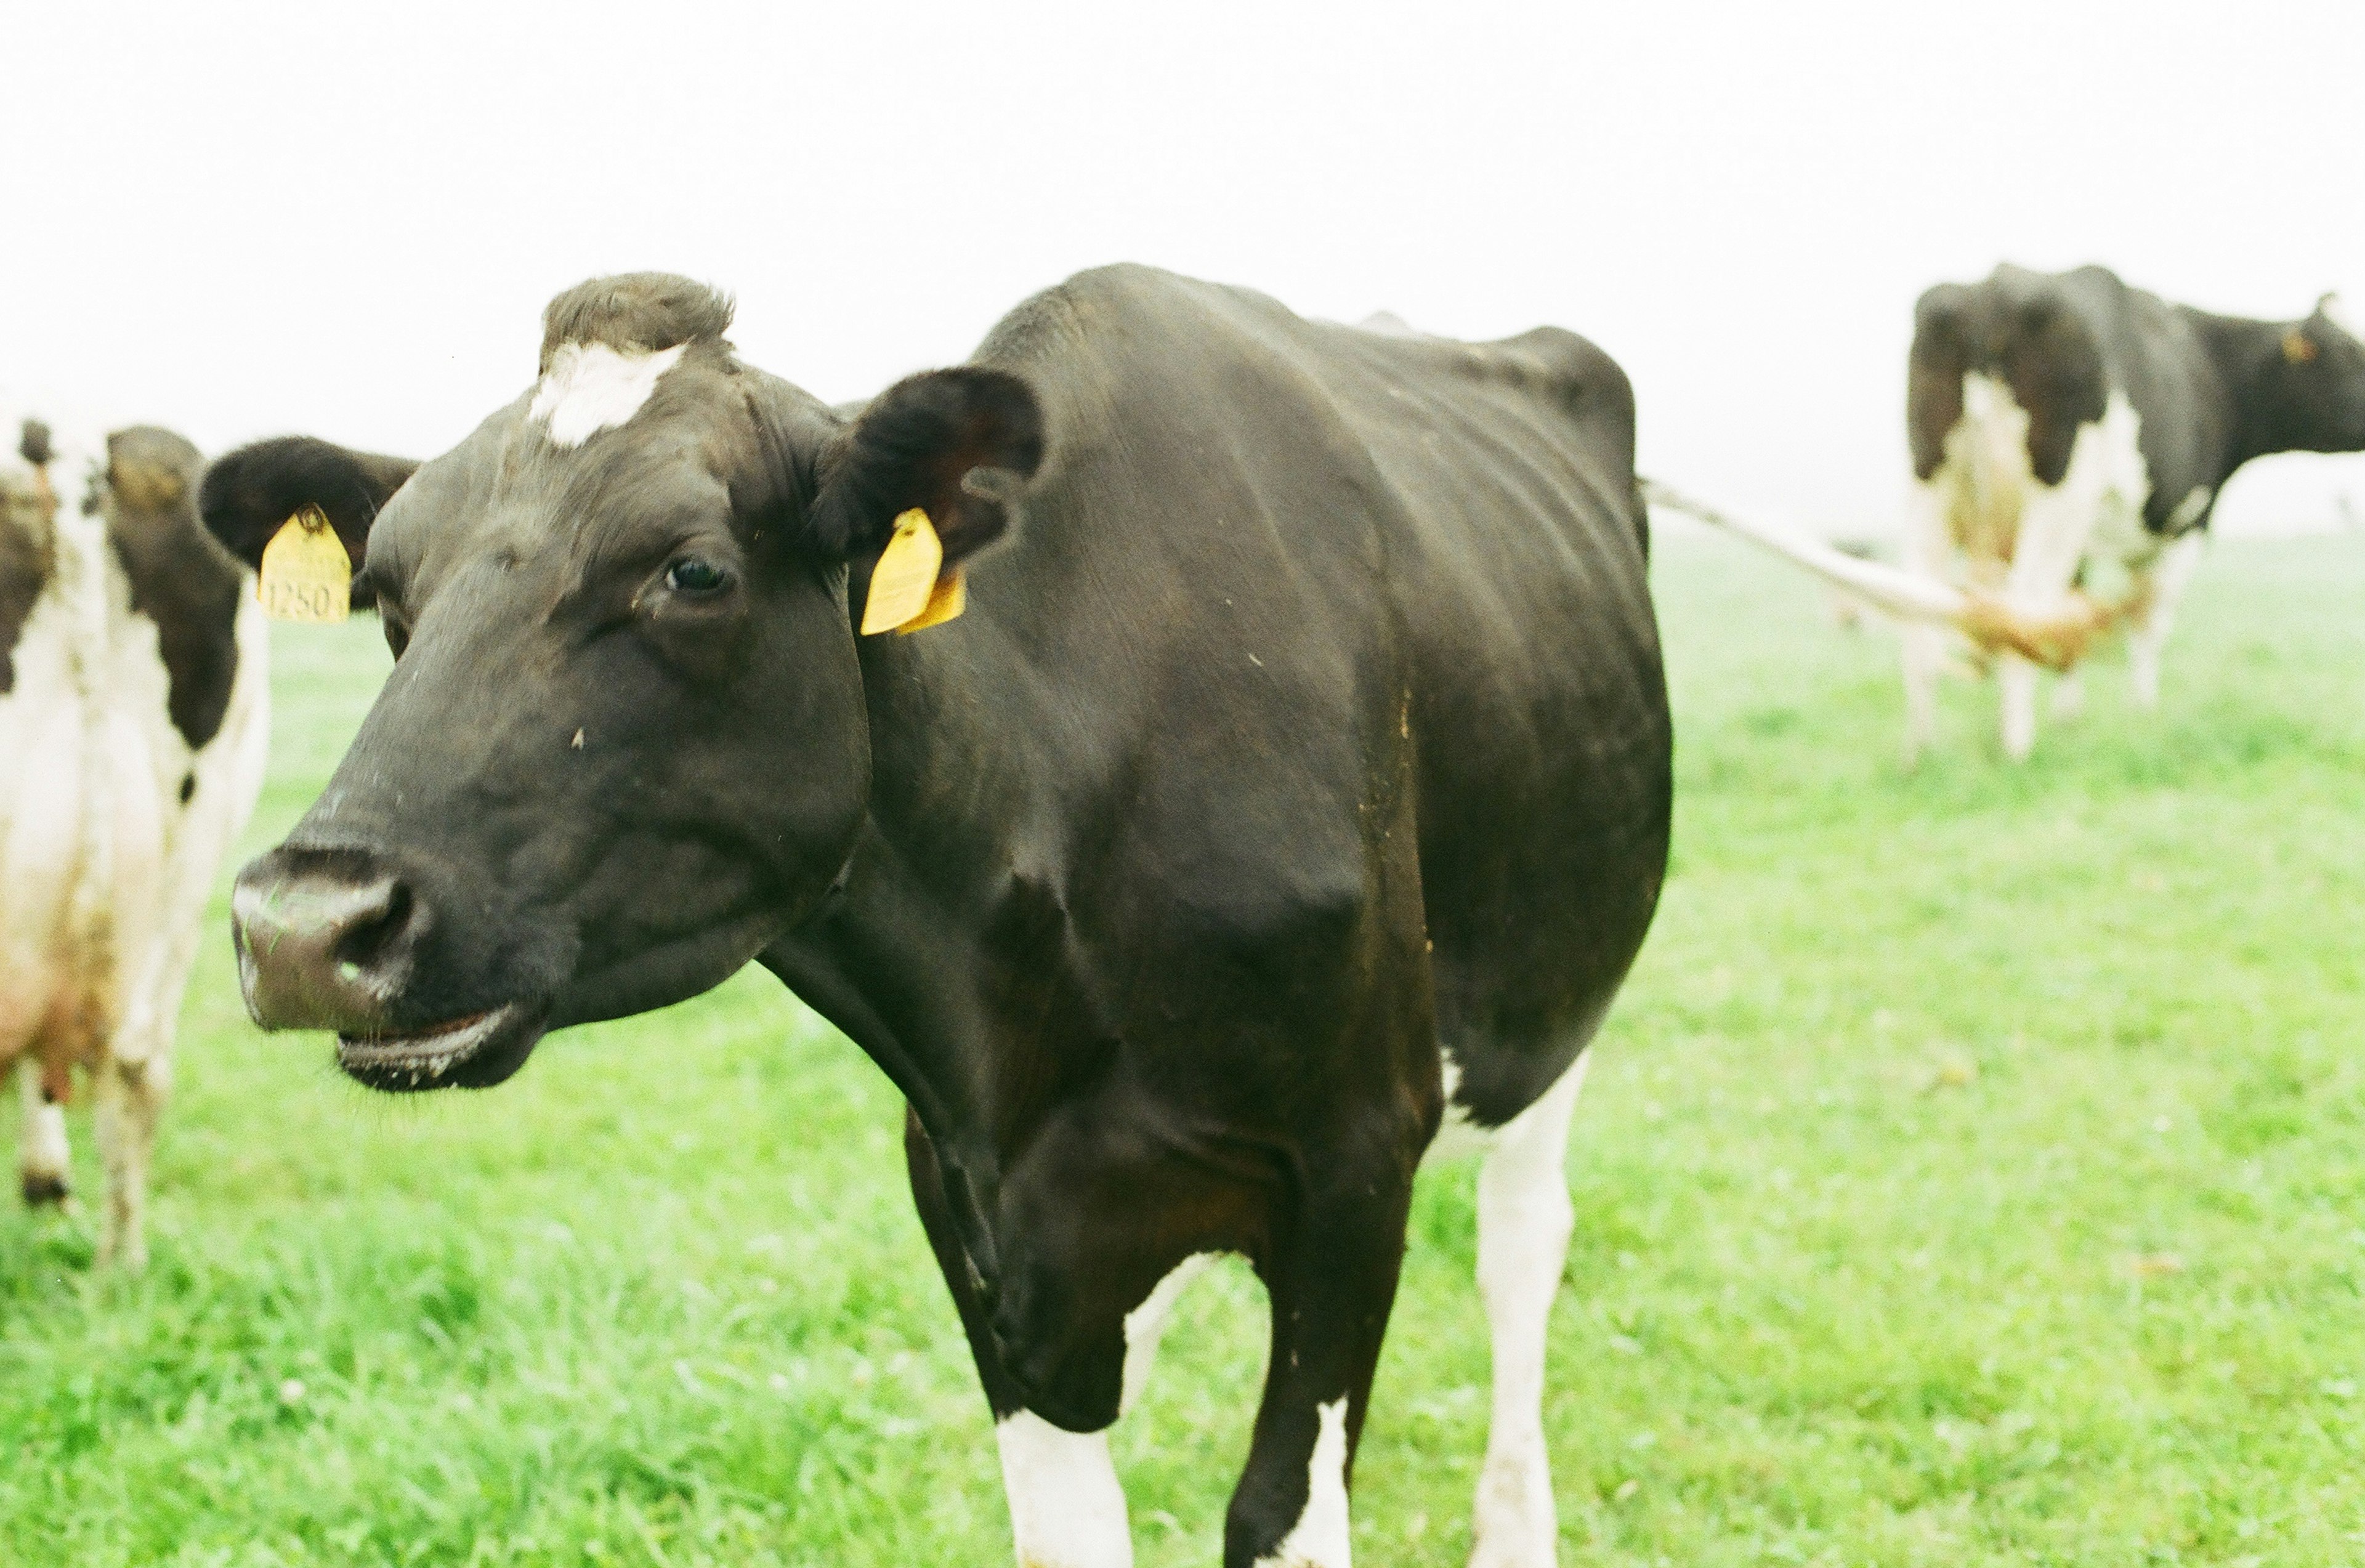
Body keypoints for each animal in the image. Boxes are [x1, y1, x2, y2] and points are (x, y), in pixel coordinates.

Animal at [208, 264, 1684, 1561]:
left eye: (692, 572)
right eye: (390, 596)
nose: (302, 926)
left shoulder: (1357, 1159)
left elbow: (1281, 1518)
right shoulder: (976, 1207)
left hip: (1548, 1012)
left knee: (1521, 1249)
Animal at [1901, 264, 2365, 761]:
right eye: (2350, 355)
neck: (2216, 365)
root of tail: (1994, 286)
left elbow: (2072, 623)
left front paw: (2069, 719)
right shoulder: (2180, 531)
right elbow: (2146, 625)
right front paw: (2141, 716)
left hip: (1929, 487)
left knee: (1923, 618)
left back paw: (1921, 755)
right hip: (2060, 499)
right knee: (2020, 613)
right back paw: (2017, 751)